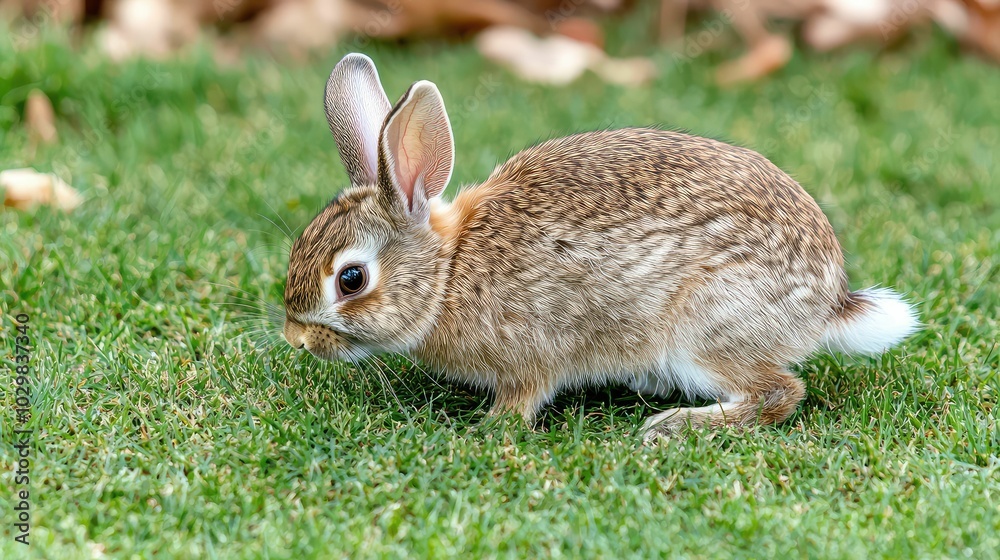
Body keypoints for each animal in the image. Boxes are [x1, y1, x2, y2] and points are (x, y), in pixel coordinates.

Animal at [282, 52, 919, 439]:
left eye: (351, 279)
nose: (297, 340)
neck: (446, 272)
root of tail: (830, 301)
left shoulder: (530, 357)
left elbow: (521, 400)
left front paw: (487, 428)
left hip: (704, 327)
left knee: (780, 392)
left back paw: (672, 427)